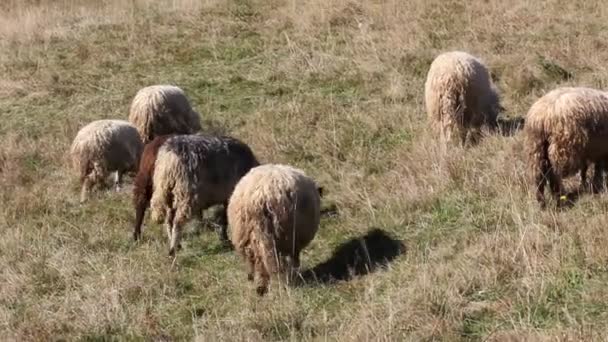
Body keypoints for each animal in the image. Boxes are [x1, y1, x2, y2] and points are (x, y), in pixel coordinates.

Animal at [228, 164, 324, 296]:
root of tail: (260, 198)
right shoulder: (294, 244)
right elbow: (295, 260)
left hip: (248, 236)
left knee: (255, 260)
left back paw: (259, 286)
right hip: (281, 235)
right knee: (270, 262)